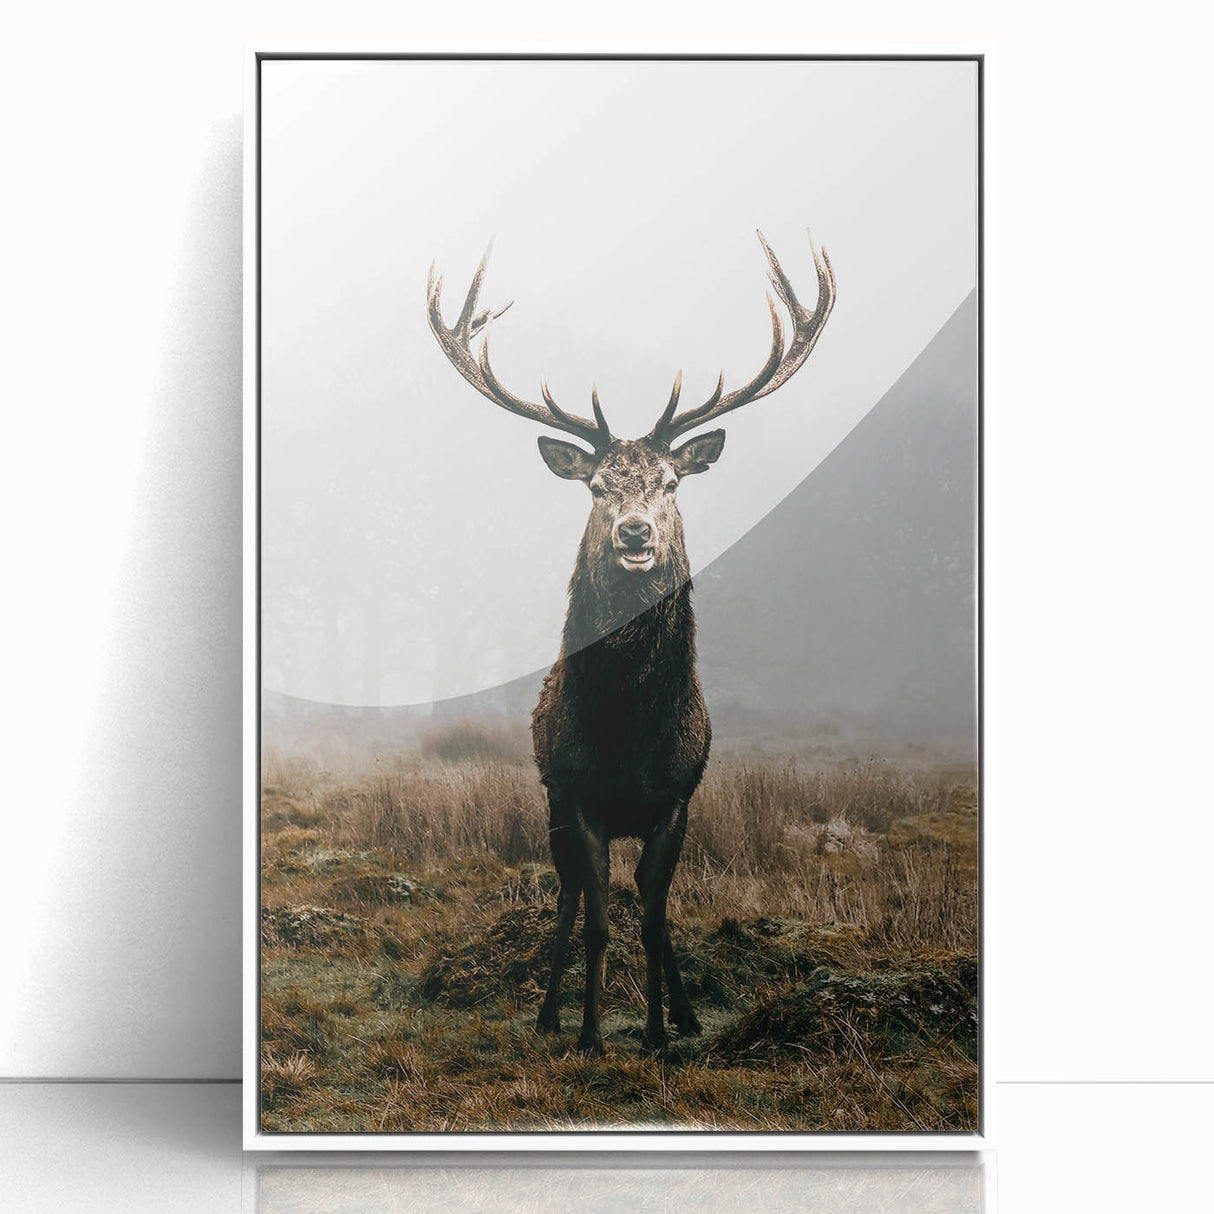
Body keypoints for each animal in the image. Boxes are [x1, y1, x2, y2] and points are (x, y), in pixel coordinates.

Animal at [426, 231, 835, 1056]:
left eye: (673, 482)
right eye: (596, 488)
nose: (636, 534)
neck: (628, 734)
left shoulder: (675, 800)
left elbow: (651, 918)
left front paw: (656, 1033)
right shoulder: (578, 797)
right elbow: (595, 922)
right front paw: (589, 1033)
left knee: (654, 911)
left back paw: (684, 1013)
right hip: (551, 805)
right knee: (567, 900)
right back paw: (551, 1013)